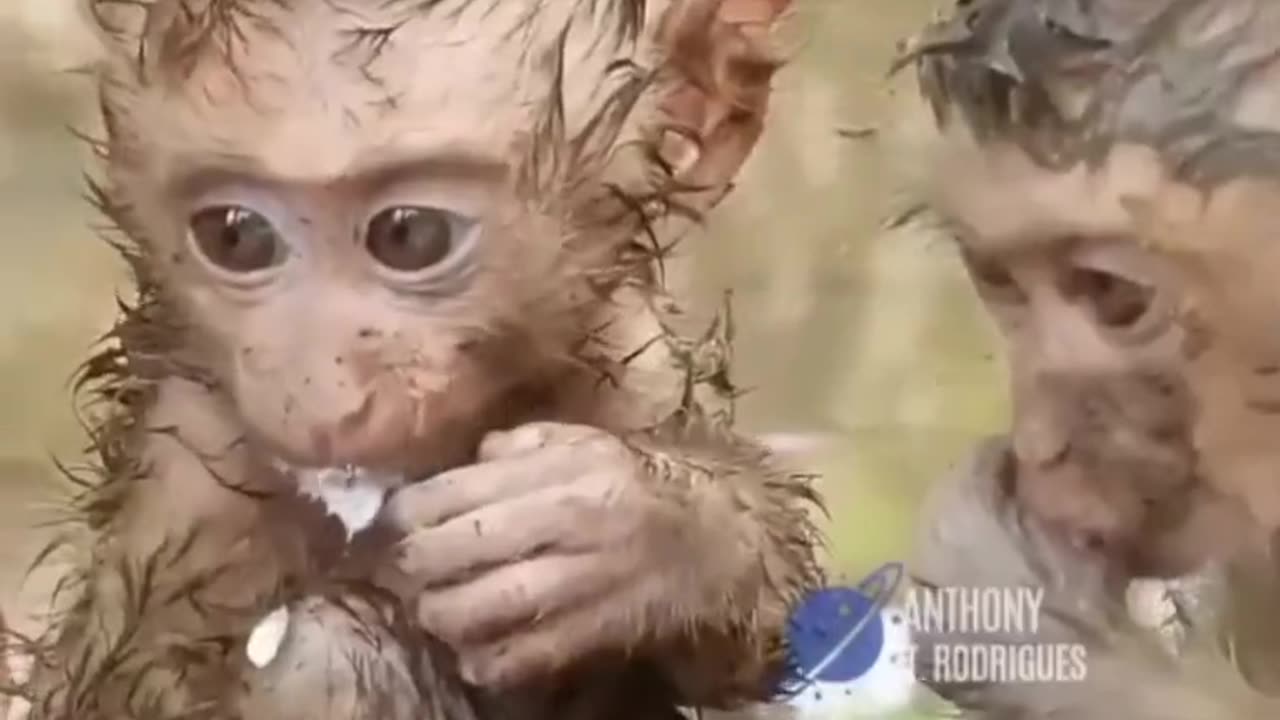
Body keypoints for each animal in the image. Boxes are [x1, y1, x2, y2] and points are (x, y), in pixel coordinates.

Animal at [20, 1, 824, 717]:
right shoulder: (187, 462)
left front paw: (629, 535)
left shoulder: (628, 356)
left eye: (409, 235)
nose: (317, 398)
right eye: (235, 235)